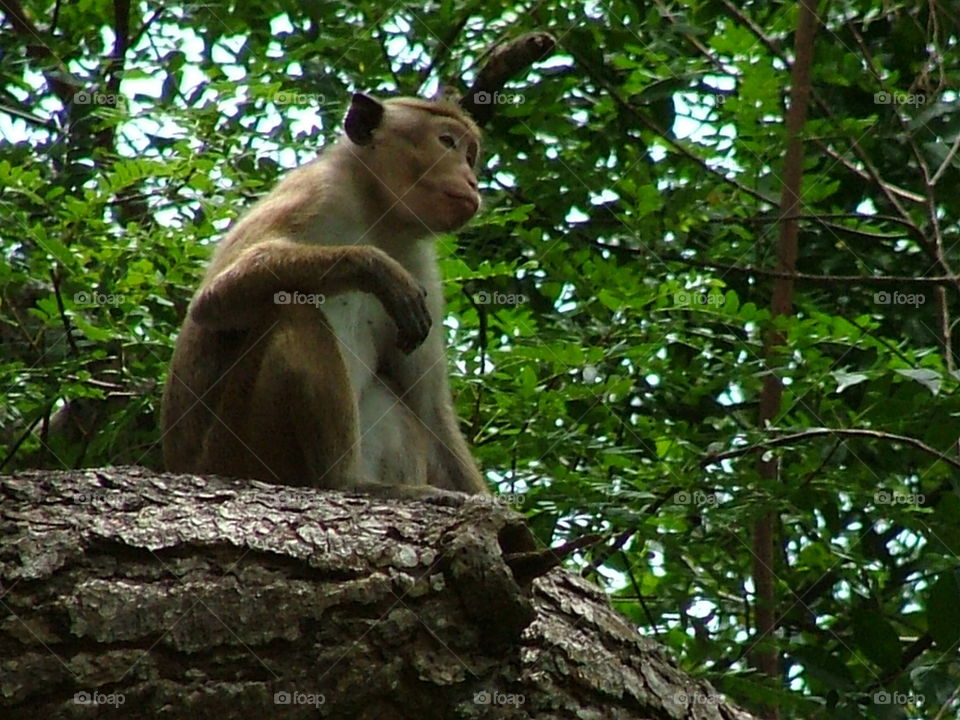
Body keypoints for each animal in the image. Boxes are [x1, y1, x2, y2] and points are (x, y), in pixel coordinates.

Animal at [160, 92, 488, 497]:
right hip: (234, 451)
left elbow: (429, 409)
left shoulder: (419, 261)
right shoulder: (316, 192)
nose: (472, 181)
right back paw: (344, 482)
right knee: (292, 308)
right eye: (446, 142)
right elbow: (214, 300)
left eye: (469, 155)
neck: (376, 213)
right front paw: (375, 268)